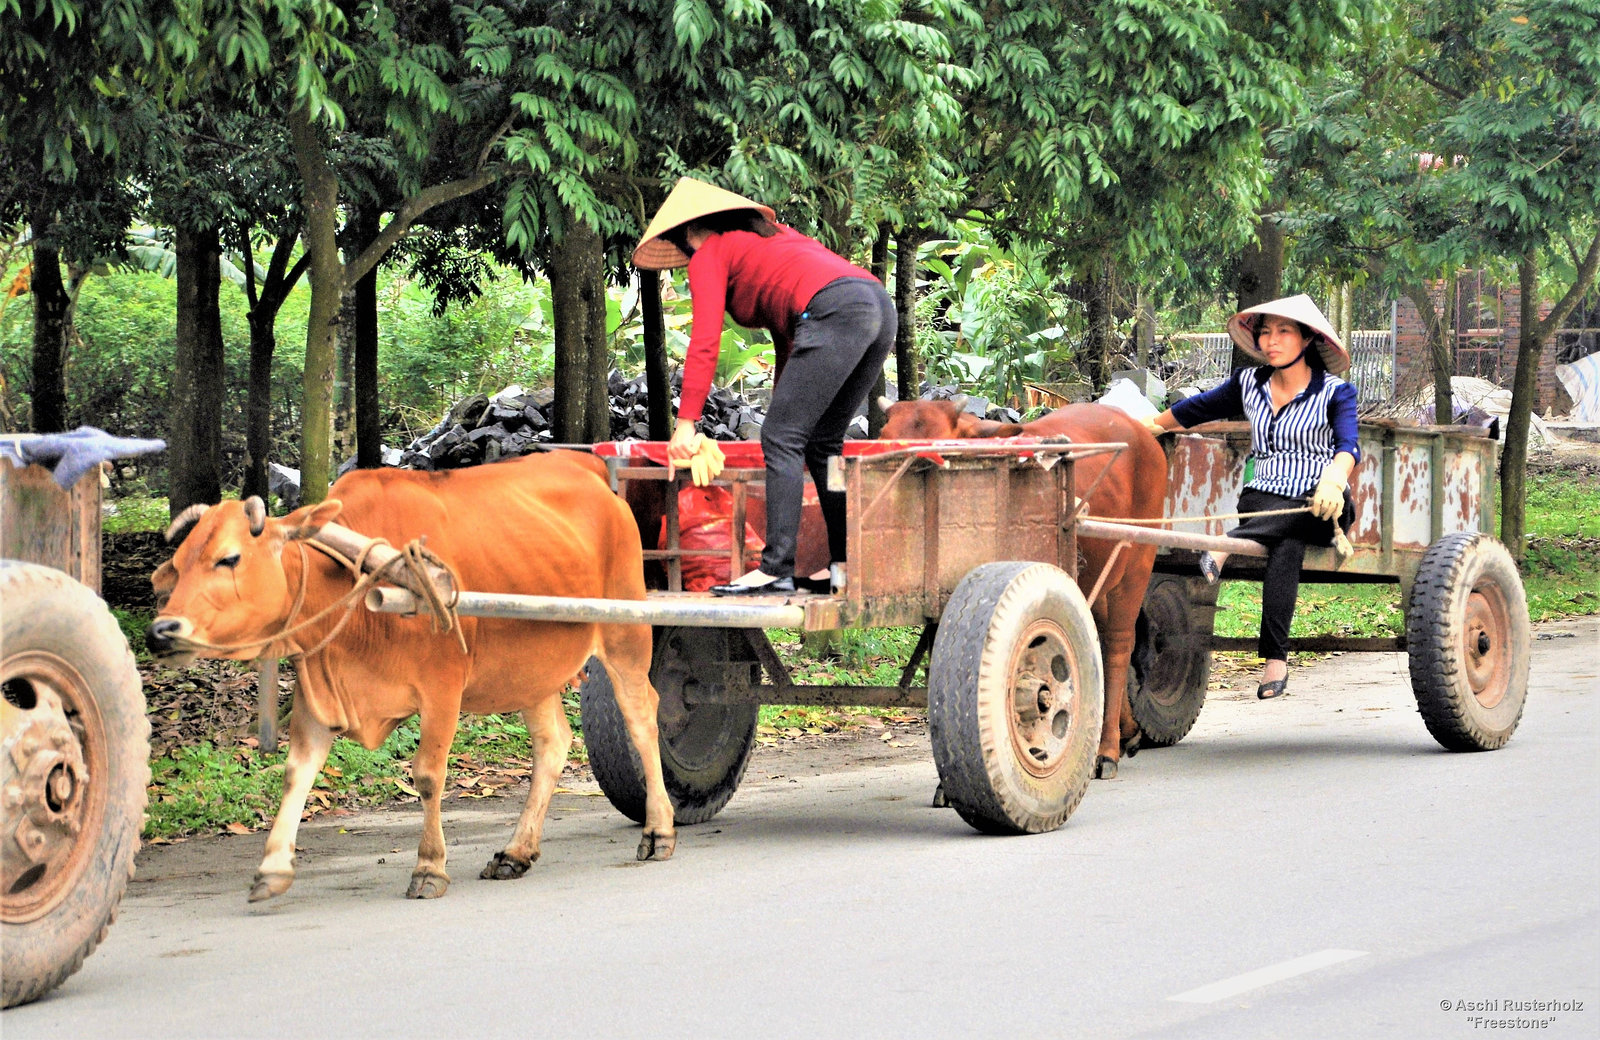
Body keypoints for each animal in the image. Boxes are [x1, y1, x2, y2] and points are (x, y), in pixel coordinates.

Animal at [147, 448, 672, 896]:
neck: (357, 585)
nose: (161, 630)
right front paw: (272, 868)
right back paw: (516, 852)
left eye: (229, 558)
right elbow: (297, 773)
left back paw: (659, 830)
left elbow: (427, 774)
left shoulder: (442, 688)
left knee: (642, 717)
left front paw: (429, 867)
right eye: (177, 564)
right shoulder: (318, 692)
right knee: (553, 743)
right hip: (530, 668)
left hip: (626, 633)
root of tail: (594, 475)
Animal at [883, 396, 1171, 777]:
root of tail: (1142, 434)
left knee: (1119, 646)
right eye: (883, 441)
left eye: (942, 448)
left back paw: (1107, 748)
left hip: (1136, 563)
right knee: (1103, 640)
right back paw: (1127, 733)